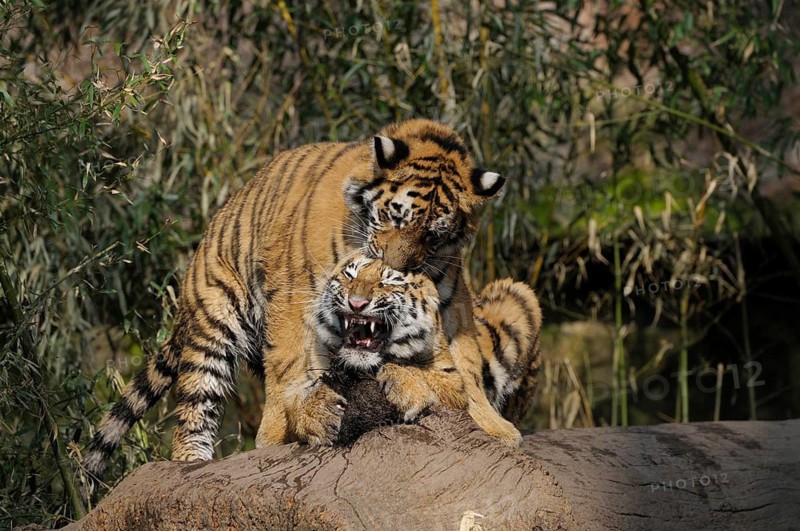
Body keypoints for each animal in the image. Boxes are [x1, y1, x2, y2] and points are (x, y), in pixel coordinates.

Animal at [85, 119, 516, 477]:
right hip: (214, 323)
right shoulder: (296, 294)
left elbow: (466, 365)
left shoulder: (451, 299)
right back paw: (190, 462)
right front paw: (276, 434)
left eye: (432, 235)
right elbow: (288, 365)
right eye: (395, 217)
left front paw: (494, 427)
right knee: (197, 404)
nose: (397, 269)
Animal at [311, 253, 542, 429]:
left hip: (519, 294)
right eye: (349, 276)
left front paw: (407, 391)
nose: (356, 303)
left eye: (387, 282)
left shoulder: (457, 385)